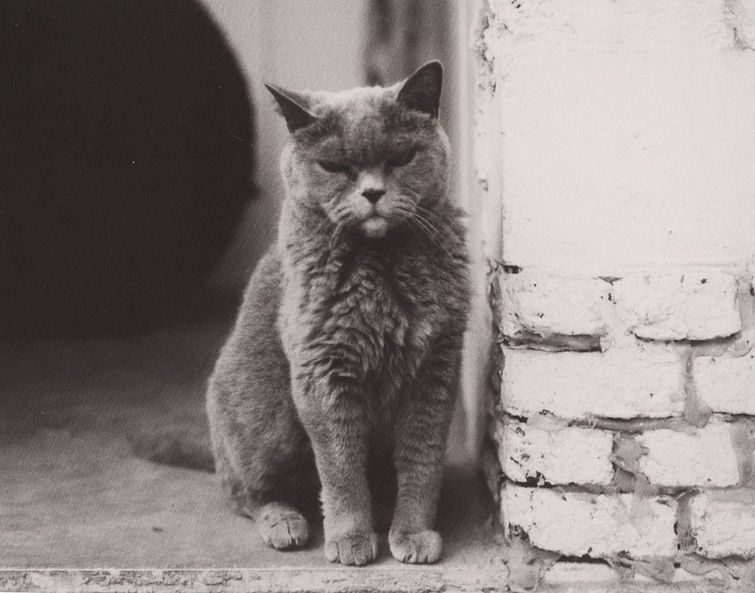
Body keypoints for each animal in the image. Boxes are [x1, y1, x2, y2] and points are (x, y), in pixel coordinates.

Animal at [206, 61, 470, 566]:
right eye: (334, 166)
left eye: (401, 157)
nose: (373, 193)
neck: (382, 265)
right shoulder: (323, 370)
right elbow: (341, 466)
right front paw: (351, 538)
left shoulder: (436, 369)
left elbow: (422, 459)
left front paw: (412, 533)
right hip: (265, 417)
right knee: (245, 492)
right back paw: (285, 522)